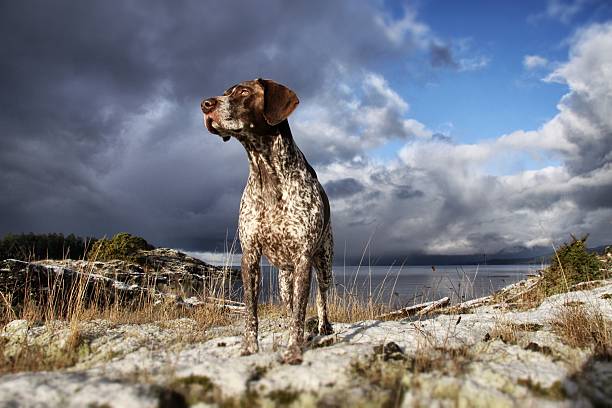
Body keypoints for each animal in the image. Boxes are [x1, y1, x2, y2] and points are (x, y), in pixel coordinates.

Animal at [201, 79, 334, 364]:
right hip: (285, 280)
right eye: (225, 92)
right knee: (291, 305)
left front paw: (294, 350)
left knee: (322, 297)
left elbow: (301, 313)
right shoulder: (250, 256)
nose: (205, 104)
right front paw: (249, 347)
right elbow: (252, 312)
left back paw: (324, 327)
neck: (265, 169)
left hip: (324, 263)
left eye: (244, 92)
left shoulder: (304, 258)